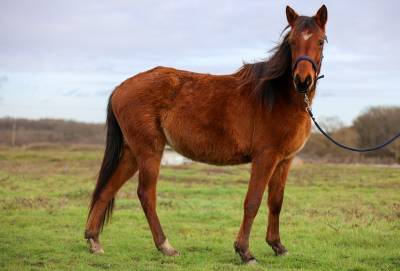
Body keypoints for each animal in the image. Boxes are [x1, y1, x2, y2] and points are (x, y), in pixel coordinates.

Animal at [84, 4, 328, 266]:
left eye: (320, 41)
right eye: (292, 42)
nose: (302, 81)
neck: (277, 97)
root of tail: (120, 88)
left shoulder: (284, 160)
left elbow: (276, 202)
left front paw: (277, 246)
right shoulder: (265, 158)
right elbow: (252, 202)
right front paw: (244, 251)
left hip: (132, 152)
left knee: (107, 189)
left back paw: (94, 240)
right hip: (150, 151)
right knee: (146, 194)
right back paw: (165, 246)